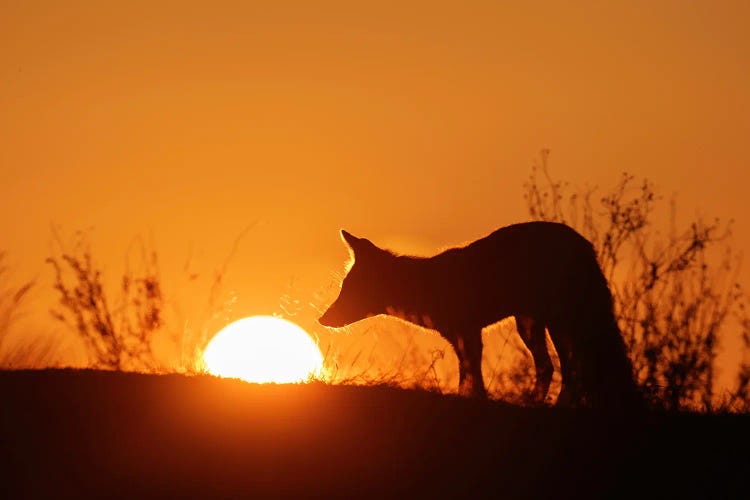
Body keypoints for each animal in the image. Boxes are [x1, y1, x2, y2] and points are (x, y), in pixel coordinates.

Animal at [320, 221, 644, 408]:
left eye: (348, 292)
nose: (322, 319)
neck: (427, 286)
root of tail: (584, 244)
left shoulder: (468, 333)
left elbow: (472, 379)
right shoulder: (462, 337)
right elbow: (470, 377)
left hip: (554, 323)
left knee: (569, 368)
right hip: (532, 325)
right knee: (554, 367)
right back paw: (540, 403)